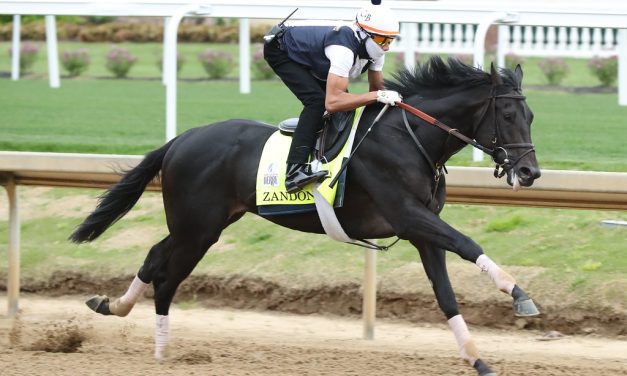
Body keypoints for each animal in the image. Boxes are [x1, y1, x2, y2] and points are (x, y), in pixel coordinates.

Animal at [68, 56, 540, 376]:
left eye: (532, 115)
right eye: (509, 114)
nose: (530, 172)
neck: (411, 139)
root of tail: (182, 138)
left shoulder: (423, 232)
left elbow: (446, 296)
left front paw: (478, 359)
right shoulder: (409, 216)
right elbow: (468, 243)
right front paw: (519, 294)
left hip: (201, 224)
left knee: (153, 257)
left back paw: (112, 305)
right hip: (198, 229)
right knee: (168, 277)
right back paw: (161, 351)